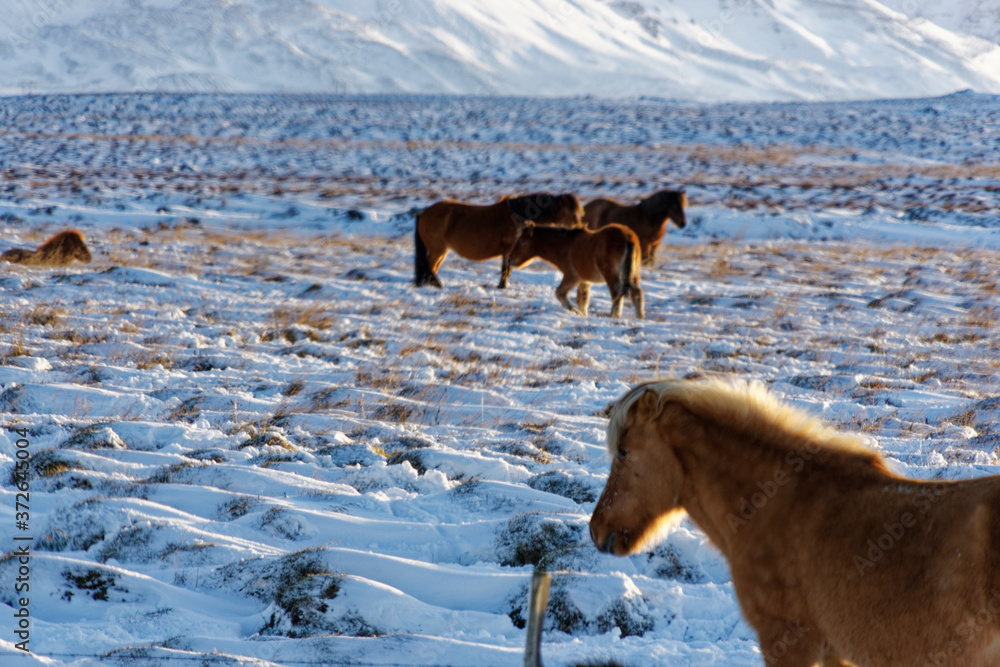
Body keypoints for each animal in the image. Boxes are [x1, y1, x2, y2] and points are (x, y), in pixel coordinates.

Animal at [414, 193, 583, 289]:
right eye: (570, 212)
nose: (580, 228)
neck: (518, 215)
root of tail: (423, 213)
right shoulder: (509, 249)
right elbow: (505, 270)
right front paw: (502, 286)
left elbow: (508, 269)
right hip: (438, 249)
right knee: (430, 267)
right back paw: (437, 285)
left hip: (442, 250)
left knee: (432, 268)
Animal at [508, 223, 643, 319]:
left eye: (522, 241)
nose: (509, 260)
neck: (566, 246)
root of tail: (628, 238)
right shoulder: (584, 281)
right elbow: (582, 300)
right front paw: (582, 314)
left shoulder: (572, 277)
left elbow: (560, 293)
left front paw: (574, 310)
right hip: (633, 274)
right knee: (636, 293)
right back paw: (640, 317)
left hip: (611, 275)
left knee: (616, 294)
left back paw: (613, 316)